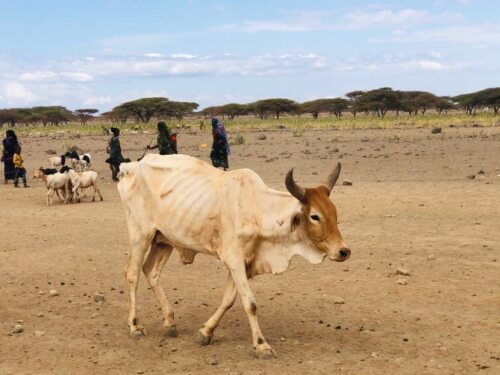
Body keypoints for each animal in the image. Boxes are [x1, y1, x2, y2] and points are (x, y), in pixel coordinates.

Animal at [118, 154, 352, 360]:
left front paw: (205, 332)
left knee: (151, 272)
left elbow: (229, 300)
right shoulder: (234, 260)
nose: (344, 251)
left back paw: (169, 322)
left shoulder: (244, 263)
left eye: (334, 213)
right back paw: (135, 325)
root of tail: (131, 167)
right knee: (132, 274)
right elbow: (250, 303)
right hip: (141, 234)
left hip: (163, 240)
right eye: (315, 216)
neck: (256, 209)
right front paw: (261, 345)